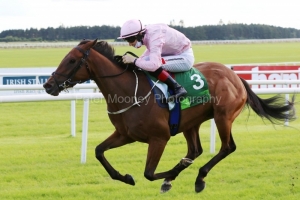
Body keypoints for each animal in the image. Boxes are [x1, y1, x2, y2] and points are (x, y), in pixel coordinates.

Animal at [43, 39, 294, 194]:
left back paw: (199, 178)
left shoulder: (159, 138)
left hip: (223, 117)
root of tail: (235, 76)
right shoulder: (125, 134)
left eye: (72, 60)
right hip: (190, 123)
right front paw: (126, 177)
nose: (48, 85)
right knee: (195, 150)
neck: (129, 91)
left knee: (227, 147)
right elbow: (98, 151)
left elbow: (148, 173)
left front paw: (170, 175)